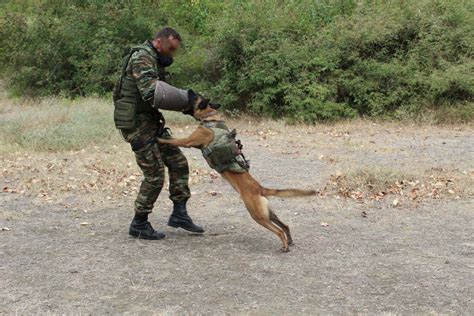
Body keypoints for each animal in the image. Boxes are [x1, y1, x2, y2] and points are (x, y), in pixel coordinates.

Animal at [157, 94, 316, 252]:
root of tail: (260, 188)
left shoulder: (187, 141)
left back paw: (285, 246)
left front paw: (159, 138)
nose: (189, 91)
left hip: (257, 215)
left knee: (279, 230)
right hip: (269, 213)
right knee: (285, 225)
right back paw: (290, 241)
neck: (211, 118)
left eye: (195, 96)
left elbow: (172, 140)